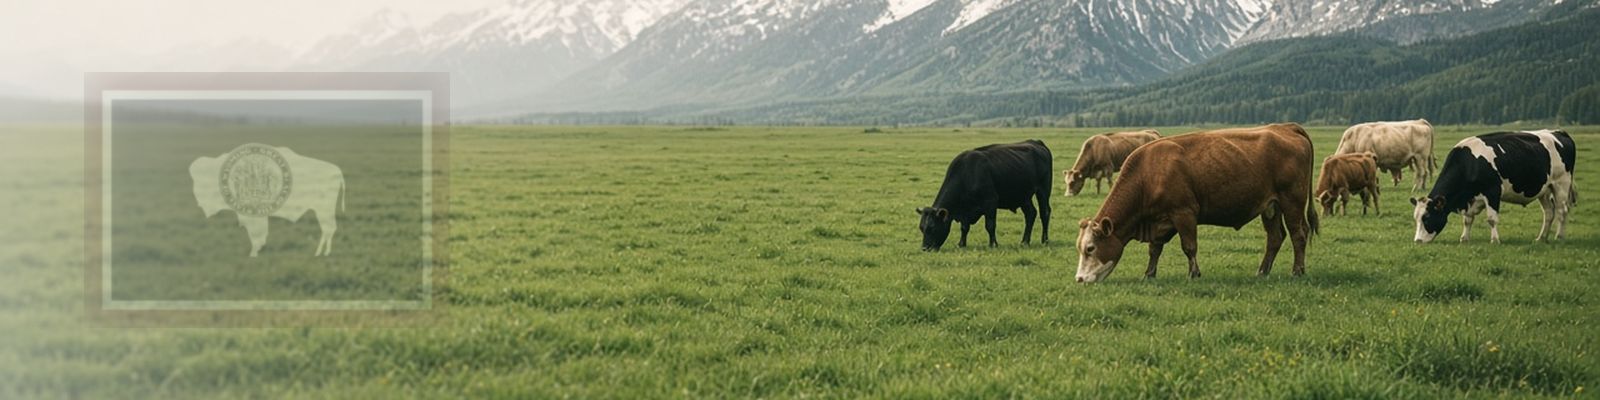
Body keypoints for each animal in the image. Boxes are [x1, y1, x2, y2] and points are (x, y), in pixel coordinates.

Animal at [190, 143, 346, 257]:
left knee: (328, 228)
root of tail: (338, 171)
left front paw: (254, 252)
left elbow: (256, 234)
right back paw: (321, 252)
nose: (199, 201)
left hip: (324, 210)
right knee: (328, 229)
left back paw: (321, 253)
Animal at [917, 140, 1052, 251]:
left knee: (1044, 212)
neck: (967, 173)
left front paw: (993, 244)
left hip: (1043, 190)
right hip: (1023, 196)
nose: (925, 248)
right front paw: (961, 244)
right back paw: (1024, 241)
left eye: (932, 227)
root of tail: (1037, 142)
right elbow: (964, 227)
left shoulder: (991, 202)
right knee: (1031, 214)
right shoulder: (965, 210)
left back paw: (1045, 240)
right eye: (921, 228)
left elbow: (990, 225)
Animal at [1074, 123, 1319, 283]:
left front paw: (1194, 273)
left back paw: (1297, 271)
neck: (1149, 173)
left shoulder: (1184, 213)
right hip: (1270, 206)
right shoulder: (1159, 221)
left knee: (1298, 234)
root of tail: (1286, 127)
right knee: (1275, 237)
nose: (1079, 278)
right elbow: (1155, 249)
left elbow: (1189, 246)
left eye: (1090, 248)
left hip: (1292, 201)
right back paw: (1262, 272)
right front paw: (1149, 274)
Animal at [1411, 130, 1576, 244]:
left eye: (1427, 218)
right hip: (1544, 190)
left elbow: (1491, 219)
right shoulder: (1470, 199)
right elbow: (1467, 220)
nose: (1417, 241)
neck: (1469, 164)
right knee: (1549, 213)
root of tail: (1559, 132)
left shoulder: (1492, 192)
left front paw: (1495, 240)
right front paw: (1464, 238)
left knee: (1562, 210)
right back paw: (1541, 238)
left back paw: (1559, 237)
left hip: (1561, 183)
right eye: (1416, 218)